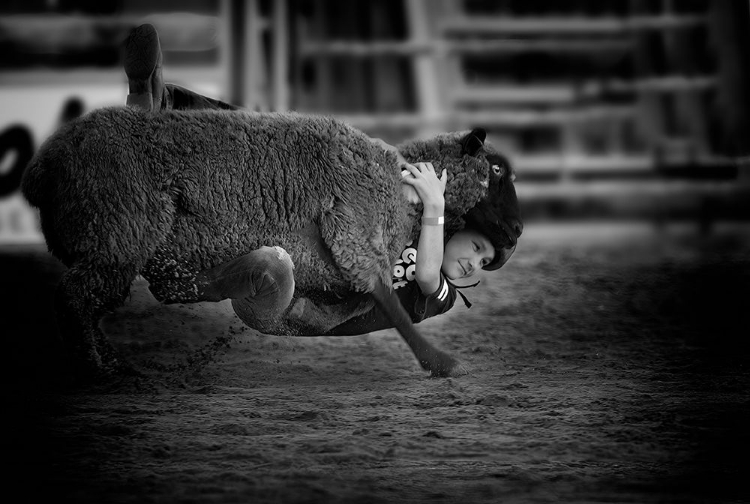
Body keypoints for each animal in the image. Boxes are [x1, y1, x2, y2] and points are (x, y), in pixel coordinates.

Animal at [20, 107, 520, 382]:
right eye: (496, 170)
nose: (515, 234)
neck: (401, 183)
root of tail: (44, 166)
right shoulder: (355, 235)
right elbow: (389, 302)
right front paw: (442, 363)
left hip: (114, 243)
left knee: (99, 298)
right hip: (118, 233)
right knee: (75, 297)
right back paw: (99, 370)